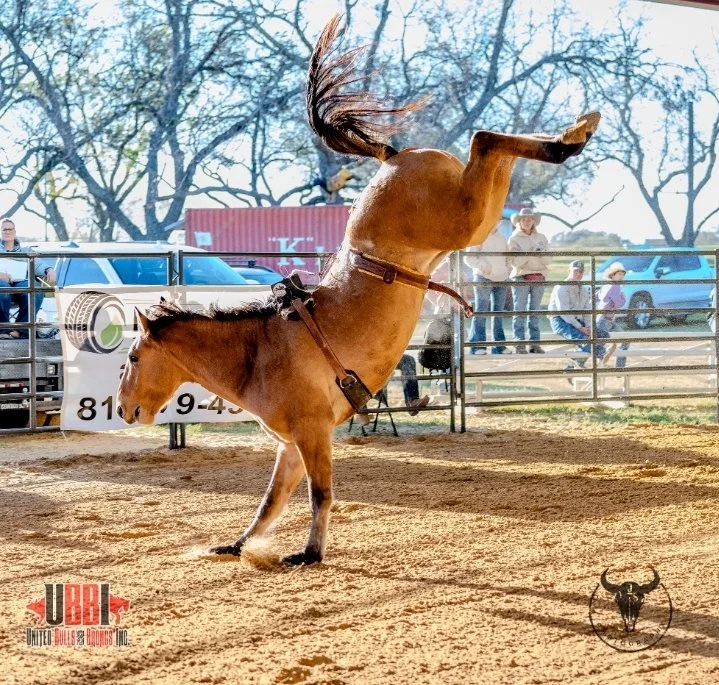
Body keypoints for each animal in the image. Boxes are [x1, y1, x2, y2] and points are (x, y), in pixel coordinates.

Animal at [117, 15, 600, 566]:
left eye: (132, 358)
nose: (123, 408)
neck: (258, 350)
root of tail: (392, 156)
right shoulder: (291, 444)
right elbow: (269, 501)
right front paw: (239, 544)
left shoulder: (312, 433)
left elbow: (319, 494)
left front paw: (309, 551)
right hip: (472, 219)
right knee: (489, 148)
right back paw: (575, 132)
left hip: (463, 218)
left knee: (483, 139)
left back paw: (572, 136)